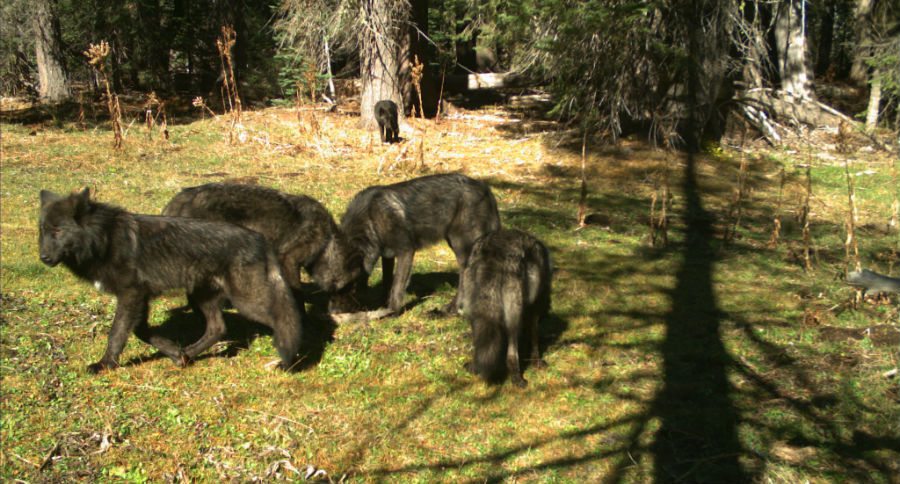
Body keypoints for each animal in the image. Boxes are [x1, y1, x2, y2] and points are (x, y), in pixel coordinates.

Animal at [39, 188, 303, 373]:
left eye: (58, 231)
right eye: (43, 231)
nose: (43, 257)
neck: (105, 239)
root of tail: (259, 238)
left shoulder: (130, 295)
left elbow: (117, 334)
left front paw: (105, 364)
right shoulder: (140, 298)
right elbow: (141, 332)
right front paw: (176, 354)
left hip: (246, 302)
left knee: (284, 318)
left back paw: (290, 361)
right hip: (200, 297)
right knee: (218, 328)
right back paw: (190, 354)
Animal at [162, 183, 364, 313]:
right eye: (353, 286)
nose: (354, 309)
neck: (326, 242)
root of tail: (178, 200)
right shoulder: (289, 260)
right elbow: (297, 294)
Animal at [340, 173, 501, 314]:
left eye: (348, 288)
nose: (339, 313)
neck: (371, 218)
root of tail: (485, 188)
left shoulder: (406, 251)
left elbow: (397, 286)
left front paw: (392, 312)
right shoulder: (388, 254)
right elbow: (387, 282)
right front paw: (383, 305)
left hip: (462, 249)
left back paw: (449, 310)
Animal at [459, 229, 552, 387]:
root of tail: (495, 249)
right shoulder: (534, 310)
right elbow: (534, 339)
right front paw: (536, 362)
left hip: (473, 312)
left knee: (479, 343)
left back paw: (475, 367)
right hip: (513, 318)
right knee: (512, 353)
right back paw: (517, 379)